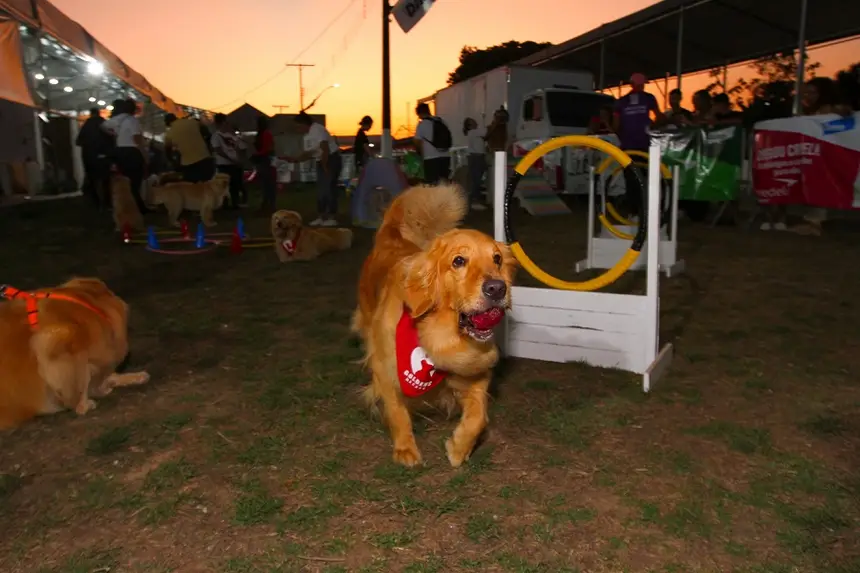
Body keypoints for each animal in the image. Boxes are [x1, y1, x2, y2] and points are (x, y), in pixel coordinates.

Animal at [352, 185, 512, 466]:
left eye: (497, 259)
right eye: (458, 261)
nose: (497, 288)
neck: (438, 335)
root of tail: (390, 234)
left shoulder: (475, 369)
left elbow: (478, 417)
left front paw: (459, 448)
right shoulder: (385, 367)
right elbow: (397, 411)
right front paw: (405, 448)